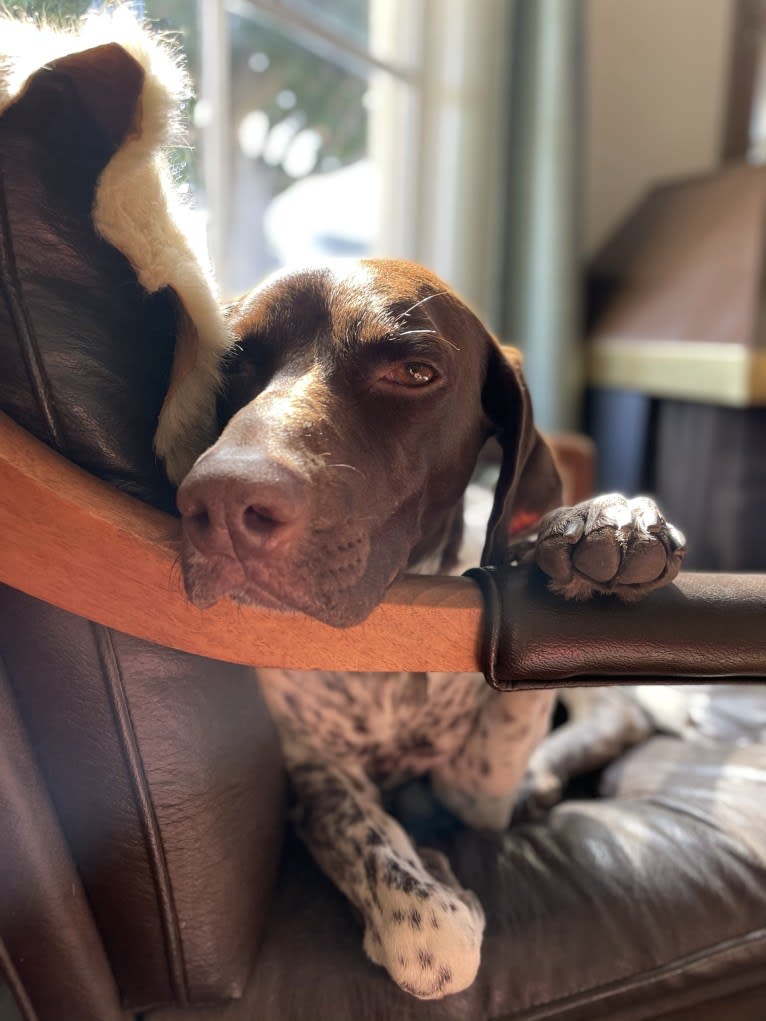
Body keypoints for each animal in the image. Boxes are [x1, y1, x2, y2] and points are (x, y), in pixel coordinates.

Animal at [176, 259, 686, 1000]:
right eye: (234, 363)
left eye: (414, 372)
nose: (219, 502)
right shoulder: (317, 769)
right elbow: (415, 915)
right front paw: (431, 887)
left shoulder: (475, 787)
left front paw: (599, 523)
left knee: (617, 714)